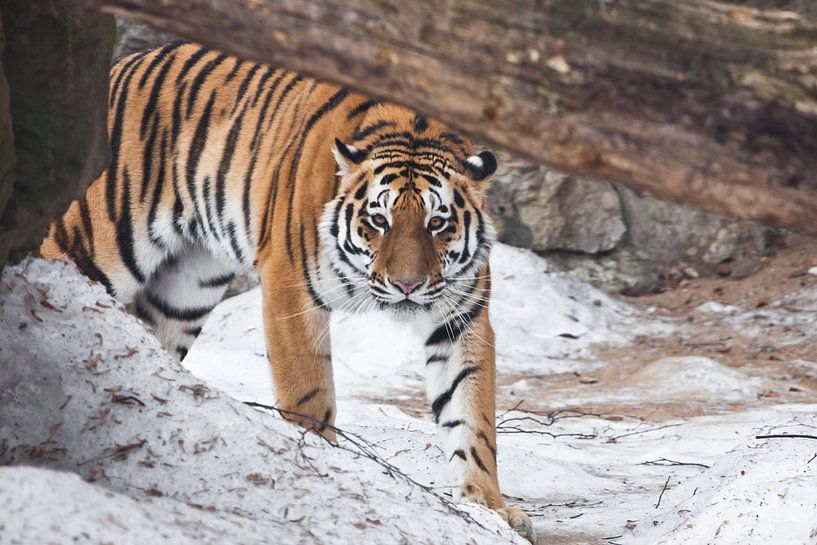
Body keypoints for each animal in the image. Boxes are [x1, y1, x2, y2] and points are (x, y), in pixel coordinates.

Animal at [39, 41, 536, 540]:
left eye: (437, 223)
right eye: (379, 220)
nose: (407, 285)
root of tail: (118, 66)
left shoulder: (461, 316)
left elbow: (471, 414)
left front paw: (490, 508)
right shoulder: (290, 289)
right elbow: (309, 391)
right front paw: (320, 461)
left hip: (185, 292)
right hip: (91, 244)